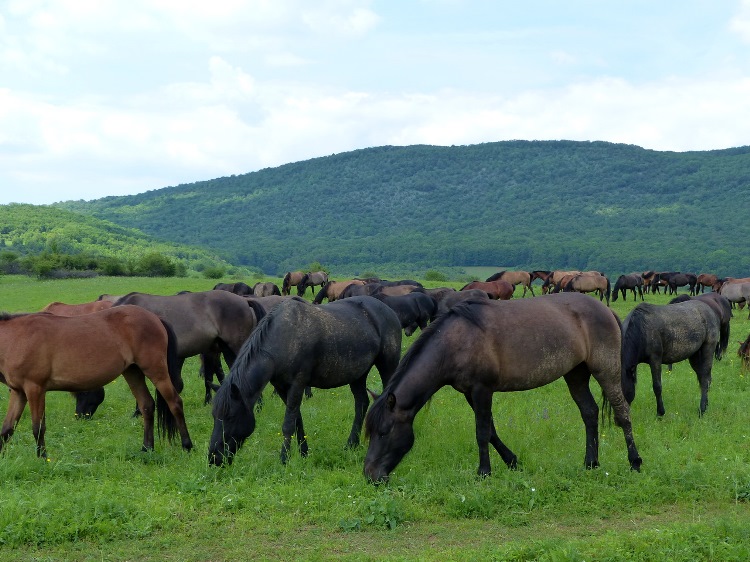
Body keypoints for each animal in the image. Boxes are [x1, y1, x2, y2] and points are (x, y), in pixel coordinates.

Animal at [0, 306, 194, 456]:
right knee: (147, 405)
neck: (17, 339)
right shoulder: (19, 392)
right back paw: (147, 449)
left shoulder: (35, 389)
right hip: (133, 373)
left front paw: (43, 459)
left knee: (175, 403)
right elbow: (7, 429)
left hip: (156, 371)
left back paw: (187, 446)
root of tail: (155, 318)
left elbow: (38, 427)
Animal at [206, 294, 406, 464]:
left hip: (388, 366)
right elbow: (297, 420)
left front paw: (284, 459)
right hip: (358, 375)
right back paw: (351, 444)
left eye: (230, 417)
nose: (214, 458)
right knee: (361, 404)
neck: (284, 337)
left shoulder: (298, 383)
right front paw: (303, 453)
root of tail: (389, 311)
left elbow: (288, 424)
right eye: (214, 416)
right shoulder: (282, 387)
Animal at [362, 290, 644, 480]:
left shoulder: (482, 390)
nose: (370, 474)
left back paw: (635, 462)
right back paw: (591, 463)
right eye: (370, 432)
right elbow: (491, 431)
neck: (455, 342)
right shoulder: (470, 393)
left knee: (622, 412)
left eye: (384, 432)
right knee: (590, 413)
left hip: (605, 370)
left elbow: (482, 432)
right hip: (576, 374)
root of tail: (605, 309)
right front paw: (512, 462)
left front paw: (484, 472)